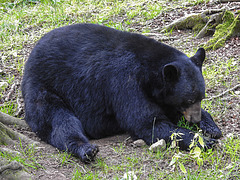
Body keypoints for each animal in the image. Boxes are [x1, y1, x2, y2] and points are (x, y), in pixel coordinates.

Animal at [21, 23, 222, 162]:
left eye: (201, 97)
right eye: (188, 100)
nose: (194, 119)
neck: (149, 73)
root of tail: (30, 57)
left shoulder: (161, 95)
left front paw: (211, 127)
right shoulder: (125, 82)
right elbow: (147, 122)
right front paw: (202, 140)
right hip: (44, 87)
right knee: (59, 120)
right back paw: (86, 149)